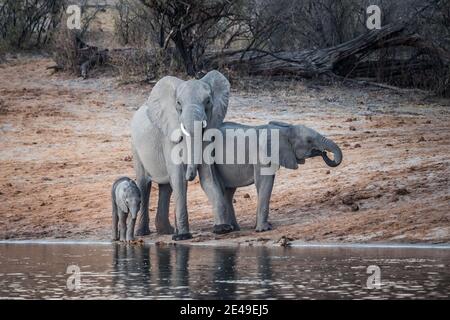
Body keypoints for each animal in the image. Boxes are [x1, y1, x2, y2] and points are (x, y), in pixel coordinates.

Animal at [131, 70, 232, 240]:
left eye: (208, 101)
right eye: (178, 103)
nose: (190, 175)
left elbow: (208, 178)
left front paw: (223, 228)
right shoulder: (169, 137)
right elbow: (178, 179)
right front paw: (183, 236)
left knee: (166, 187)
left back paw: (166, 231)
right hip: (135, 148)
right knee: (144, 184)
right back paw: (142, 233)